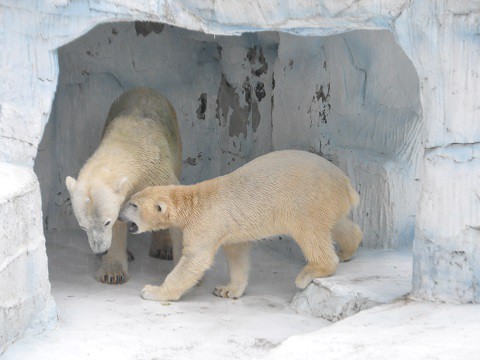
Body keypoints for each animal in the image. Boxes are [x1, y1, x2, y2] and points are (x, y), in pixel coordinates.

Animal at [65, 86, 182, 284]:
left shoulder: (157, 173)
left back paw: (163, 248)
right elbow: (119, 224)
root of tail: (144, 88)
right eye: (83, 226)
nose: (100, 251)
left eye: (106, 222)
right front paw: (113, 273)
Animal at [119, 149, 360, 300]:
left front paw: (152, 291)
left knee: (309, 232)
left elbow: (195, 259)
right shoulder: (228, 228)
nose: (119, 215)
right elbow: (237, 254)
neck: (193, 202)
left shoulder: (206, 223)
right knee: (335, 224)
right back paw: (348, 249)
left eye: (133, 204)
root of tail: (347, 184)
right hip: (328, 200)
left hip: (307, 197)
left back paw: (309, 273)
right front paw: (227, 290)